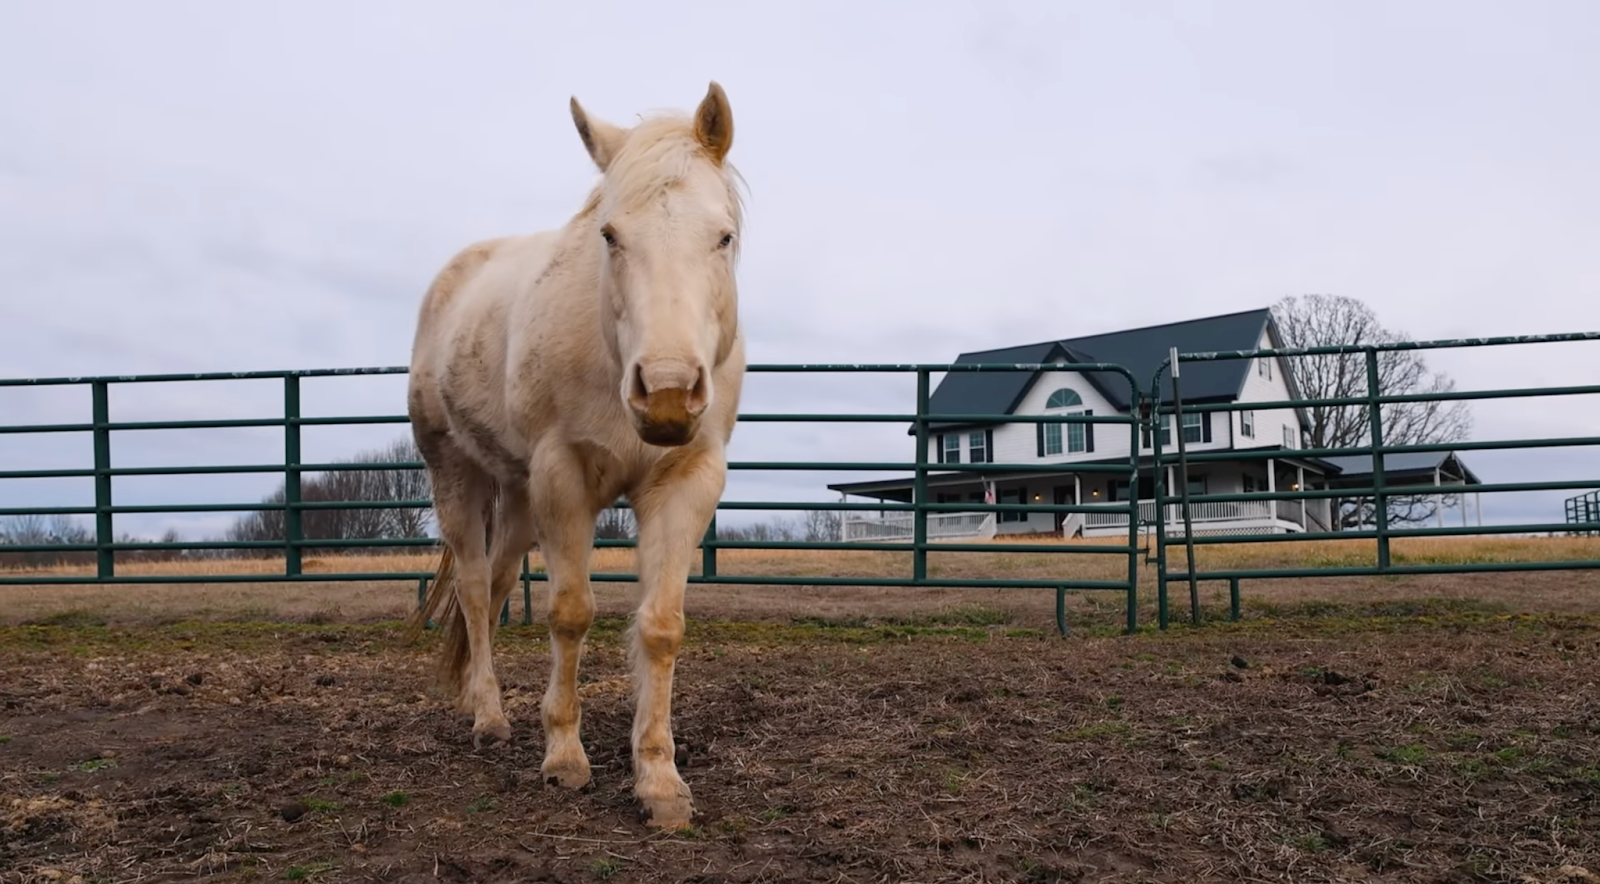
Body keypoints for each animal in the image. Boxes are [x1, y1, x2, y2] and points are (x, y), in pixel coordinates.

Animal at [404, 82, 745, 829]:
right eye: (610, 236)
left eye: (724, 235)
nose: (668, 390)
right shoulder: (564, 477)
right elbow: (570, 612)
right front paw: (564, 756)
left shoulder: (687, 479)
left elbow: (661, 626)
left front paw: (660, 780)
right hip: (457, 472)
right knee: (473, 587)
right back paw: (489, 718)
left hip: (518, 493)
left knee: (497, 586)